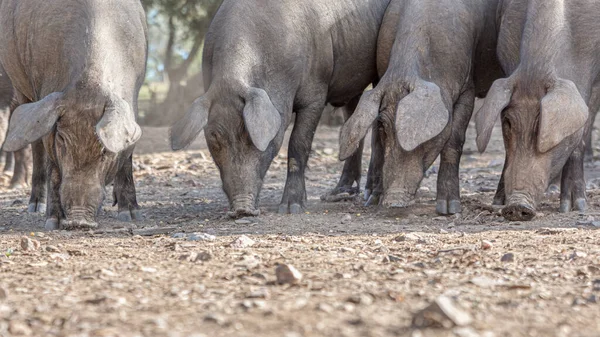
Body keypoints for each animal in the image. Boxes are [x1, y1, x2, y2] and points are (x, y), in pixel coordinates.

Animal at [0, 0, 149, 228]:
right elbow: (52, 164)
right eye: (61, 139)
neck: (89, 86)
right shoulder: (46, 95)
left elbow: (127, 156)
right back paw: (35, 206)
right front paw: (53, 222)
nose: (79, 221)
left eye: (104, 151)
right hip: (20, 86)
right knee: (34, 144)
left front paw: (131, 215)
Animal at [171, 0, 392, 215]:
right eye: (214, 138)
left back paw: (369, 194)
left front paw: (291, 208)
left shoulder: (316, 91)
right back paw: (337, 194)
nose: (242, 210)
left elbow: (298, 143)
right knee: (352, 120)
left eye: (250, 136)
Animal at [338, 0, 502, 214]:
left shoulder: (467, 87)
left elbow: (454, 142)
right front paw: (374, 200)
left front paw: (449, 208)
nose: (394, 200)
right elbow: (379, 144)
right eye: (383, 127)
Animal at [476, 0, 596, 220]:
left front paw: (575, 207)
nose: (516, 206)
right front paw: (498, 202)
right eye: (507, 123)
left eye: (543, 127)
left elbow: (581, 135)